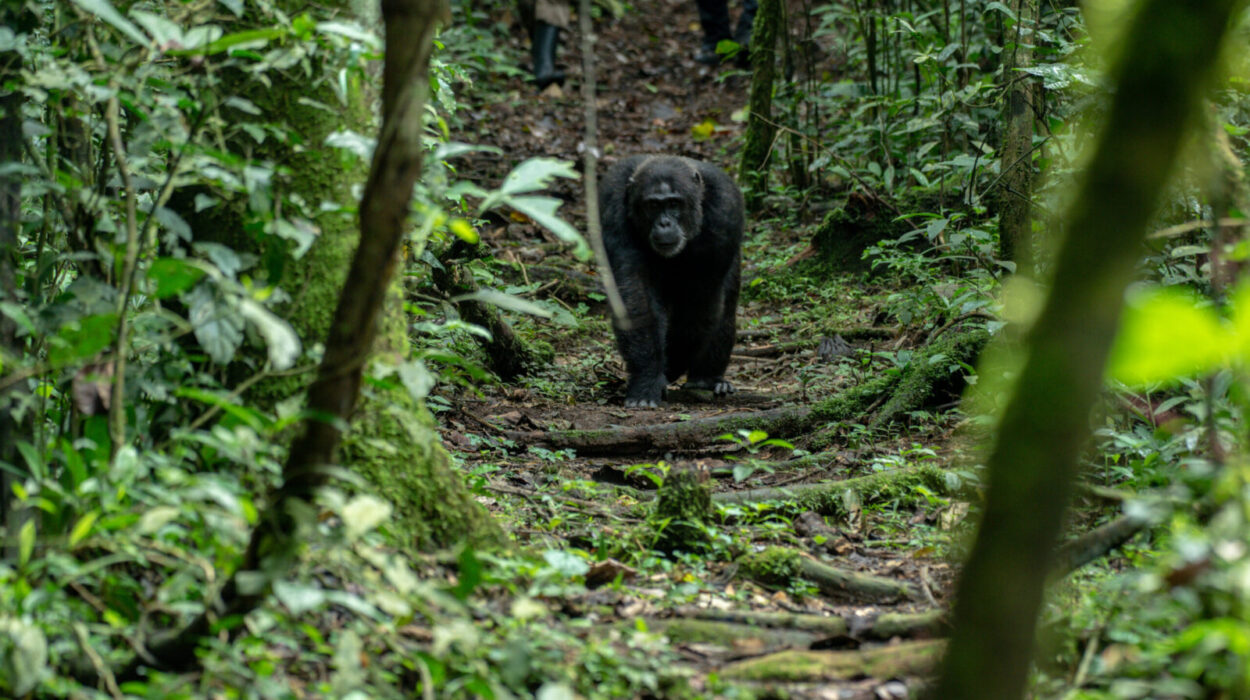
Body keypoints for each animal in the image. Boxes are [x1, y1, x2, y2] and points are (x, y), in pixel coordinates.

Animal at [598, 155, 745, 407]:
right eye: (653, 206)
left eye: (674, 204)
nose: (664, 224)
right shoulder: (612, 203)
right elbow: (635, 292)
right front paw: (647, 378)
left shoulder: (726, 210)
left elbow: (698, 301)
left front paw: (670, 368)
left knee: (724, 309)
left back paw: (706, 379)